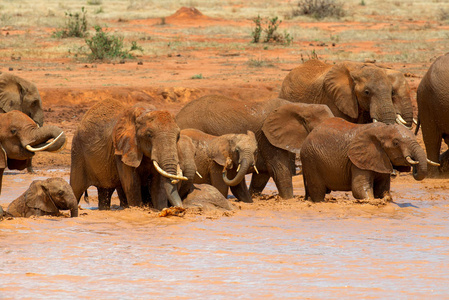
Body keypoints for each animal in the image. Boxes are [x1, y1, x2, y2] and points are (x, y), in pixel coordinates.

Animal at [175, 95, 332, 199]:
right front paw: (289, 200)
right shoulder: (267, 136)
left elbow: (263, 175)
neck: (301, 106)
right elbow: (278, 170)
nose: (306, 197)